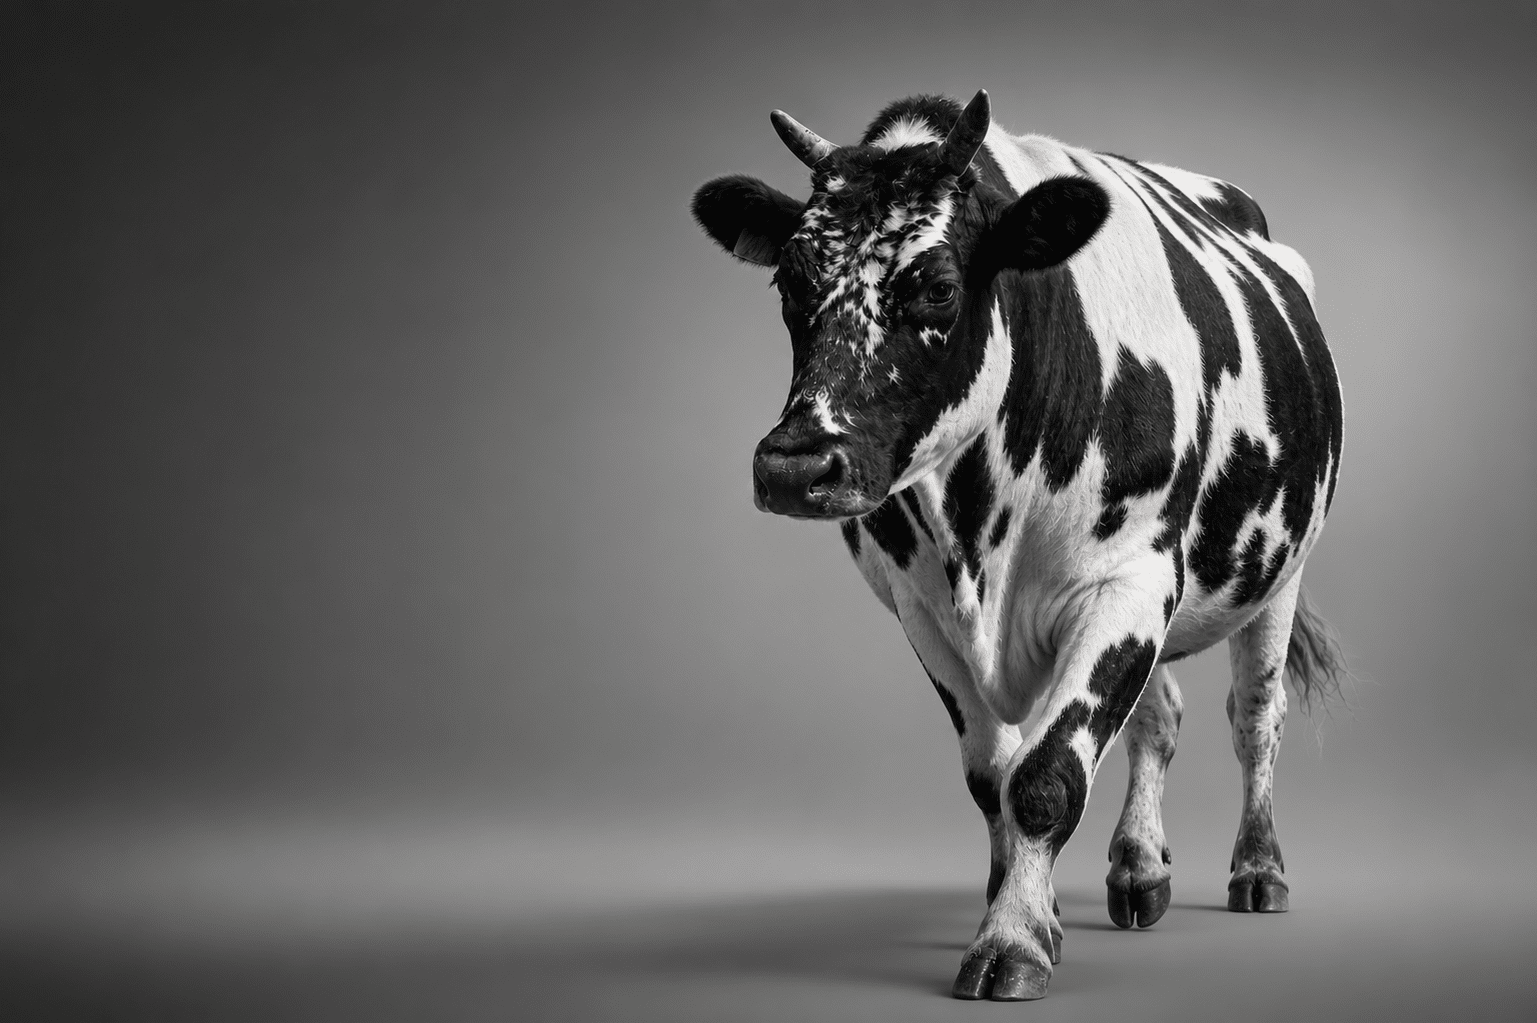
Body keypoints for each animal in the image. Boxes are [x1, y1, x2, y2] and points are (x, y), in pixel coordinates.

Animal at [691, 90, 1346, 1001]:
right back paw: (1138, 868)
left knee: (1253, 715)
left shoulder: (1128, 581)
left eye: (937, 286)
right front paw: (1025, 909)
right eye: (790, 282)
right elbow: (991, 778)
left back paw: (1257, 870)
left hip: (1279, 568)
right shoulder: (923, 608)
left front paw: (1010, 942)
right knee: (1160, 716)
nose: (793, 464)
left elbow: (1044, 777)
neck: (978, 532)